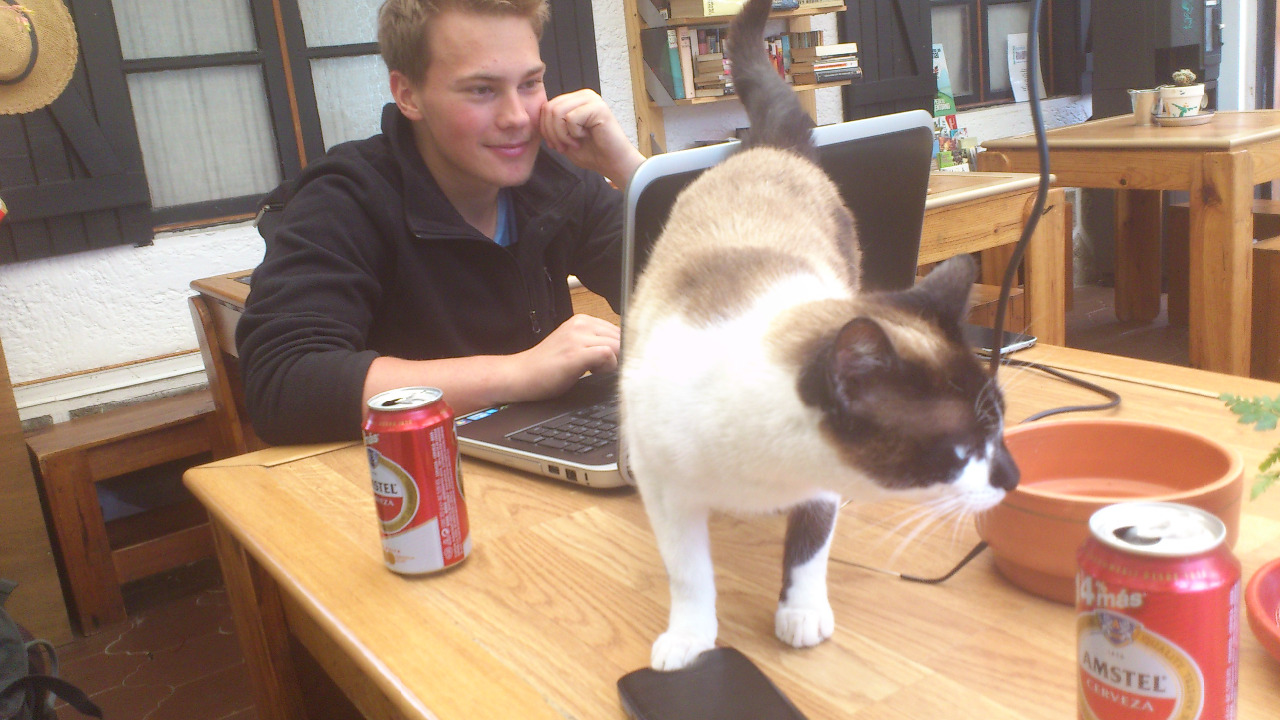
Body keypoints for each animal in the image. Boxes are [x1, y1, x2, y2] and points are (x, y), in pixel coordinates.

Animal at [618, 0, 1019, 672]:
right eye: (964, 448)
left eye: (1002, 428)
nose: (1013, 477)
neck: (764, 472)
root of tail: (770, 150)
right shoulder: (664, 488)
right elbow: (690, 575)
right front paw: (690, 643)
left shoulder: (820, 487)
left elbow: (807, 551)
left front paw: (799, 616)